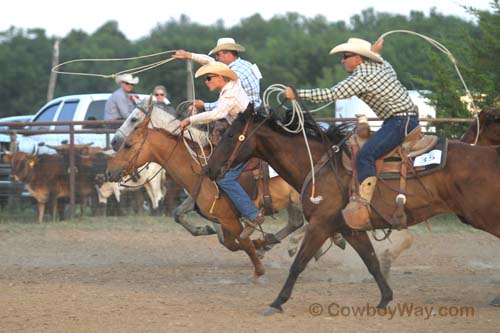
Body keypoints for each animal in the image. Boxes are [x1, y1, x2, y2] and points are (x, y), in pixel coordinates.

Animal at [205, 105, 500, 314]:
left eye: (229, 134)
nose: (209, 169)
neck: (318, 164)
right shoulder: (349, 228)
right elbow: (371, 262)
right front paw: (385, 299)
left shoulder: (321, 225)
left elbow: (298, 263)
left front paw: (276, 302)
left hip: (484, 216)